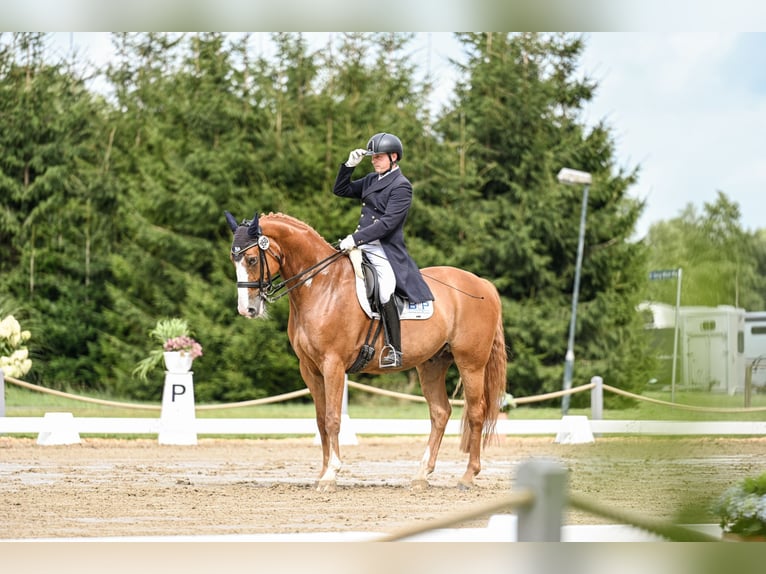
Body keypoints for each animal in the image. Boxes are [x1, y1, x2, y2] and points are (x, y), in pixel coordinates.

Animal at [225, 214, 508, 492]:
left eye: (252, 259)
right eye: (233, 259)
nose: (247, 309)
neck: (322, 285)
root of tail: (482, 283)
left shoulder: (333, 364)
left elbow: (332, 419)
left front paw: (331, 475)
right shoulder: (310, 369)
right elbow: (320, 420)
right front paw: (322, 473)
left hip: (471, 363)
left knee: (476, 412)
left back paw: (468, 476)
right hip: (432, 363)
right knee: (440, 413)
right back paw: (421, 475)